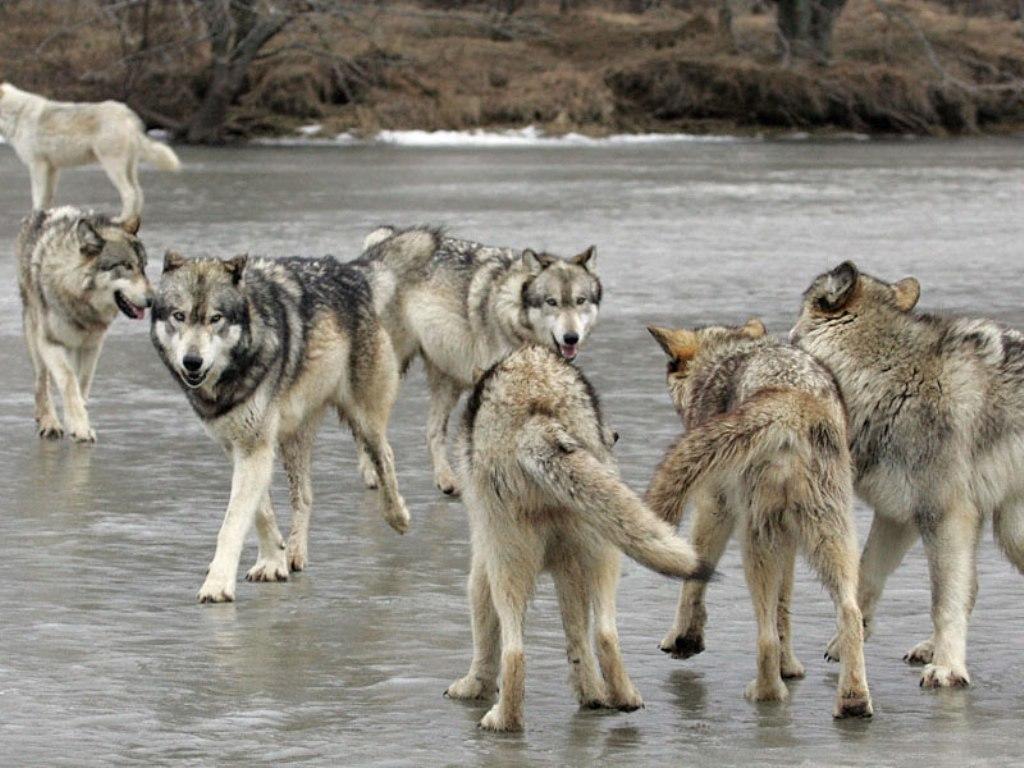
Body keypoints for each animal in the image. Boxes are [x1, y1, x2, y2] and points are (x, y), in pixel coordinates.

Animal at [17, 207, 151, 442]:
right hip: (35, 339)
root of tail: (41, 212)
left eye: (144, 267)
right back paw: (49, 422)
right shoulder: (50, 343)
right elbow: (69, 380)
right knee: (41, 382)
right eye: (126, 266)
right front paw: (79, 426)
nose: (154, 300)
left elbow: (82, 385)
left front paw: (78, 420)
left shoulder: (92, 346)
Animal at [148, 231, 436, 606]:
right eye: (179, 316)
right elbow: (261, 511)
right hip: (293, 440)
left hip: (364, 420)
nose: (192, 361)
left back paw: (398, 516)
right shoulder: (240, 446)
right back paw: (296, 554)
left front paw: (217, 583)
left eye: (215, 318)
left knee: (384, 458)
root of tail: (349, 271)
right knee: (306, 495)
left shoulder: (254, 447)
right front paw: (274, 559)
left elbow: (232, 522)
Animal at [444, 344, 716, 733]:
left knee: (515, 651)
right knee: (604, 633)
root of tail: (536, 412)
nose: (614, 435)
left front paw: (471, 688)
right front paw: (593, 695)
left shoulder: (482, 569)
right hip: (602, 550)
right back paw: (624, 698)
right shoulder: (566, 568)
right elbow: (577, 641)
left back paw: (503, 720)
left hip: (511, 565)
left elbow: (485, 644)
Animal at [647, 319, 872, 720]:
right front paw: (791, 667)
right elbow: (785, 610)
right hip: (828, 538)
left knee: (764, 637)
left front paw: (684, 639)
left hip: (756, 542)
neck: (727, 354)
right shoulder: (789, 540)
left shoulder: (714, 507)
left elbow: (693, 581)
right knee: (849, 614)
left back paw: (765, 692)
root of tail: (789, 398)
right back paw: (853, 700)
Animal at [794, 264, 1024, 692]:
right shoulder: (898, 514)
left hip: (1010, 531)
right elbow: (866, 577)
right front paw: (849, 639)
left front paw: (948, 668)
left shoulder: (945, 517)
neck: (887, 377)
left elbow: (943, 602)